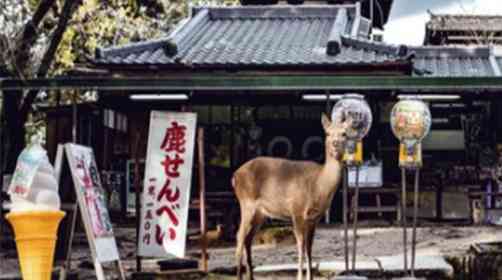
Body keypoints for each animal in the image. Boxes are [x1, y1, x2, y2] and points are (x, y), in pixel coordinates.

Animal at [231, 113, 350, 280]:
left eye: (344, 133)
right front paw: (299, 276)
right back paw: (238, 275)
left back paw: (251, 276)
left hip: (260, 213)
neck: (318, 186)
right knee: (239, 236)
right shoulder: (297, 210)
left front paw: (310, 276)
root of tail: (235, 176)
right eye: (327, 133)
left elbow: (309, 247)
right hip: (246, 203)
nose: (335, 144)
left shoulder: (315, 218)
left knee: (248, 239)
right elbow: (300, 245)